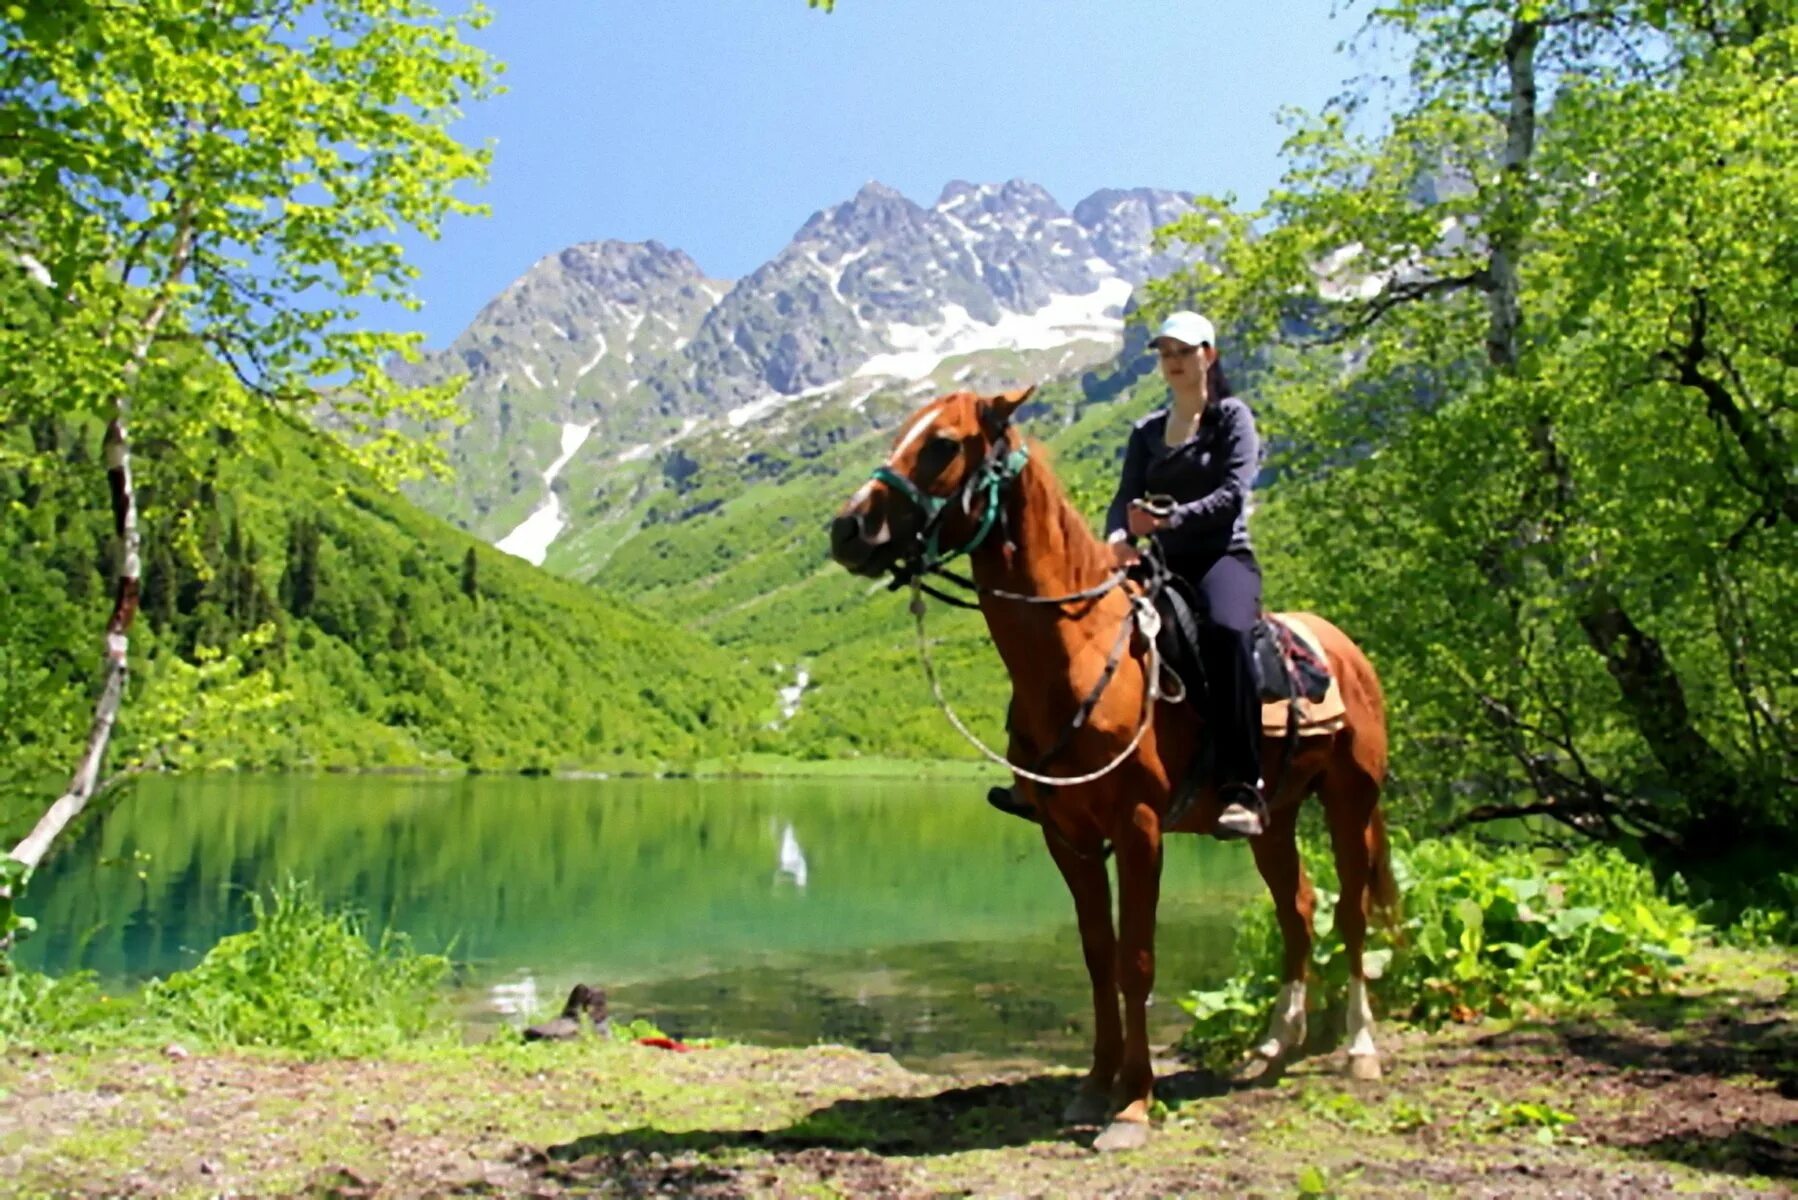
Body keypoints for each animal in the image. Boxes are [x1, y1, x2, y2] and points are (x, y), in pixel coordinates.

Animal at [830, 390, 1402, 1151]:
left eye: (943, 444)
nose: (847, 528)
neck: (1077, 649)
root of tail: (1344, 649)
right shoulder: (1067, 836)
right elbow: (1099, 956)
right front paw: (1094, 1086)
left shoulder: (1139, 829)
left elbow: (1136, 961)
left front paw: (1133, 1104)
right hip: (1271, 818)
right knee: (1299, 910)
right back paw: (1272, 1045)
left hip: (1349, 800)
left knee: (1352, 912)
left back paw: (1359, 1048)